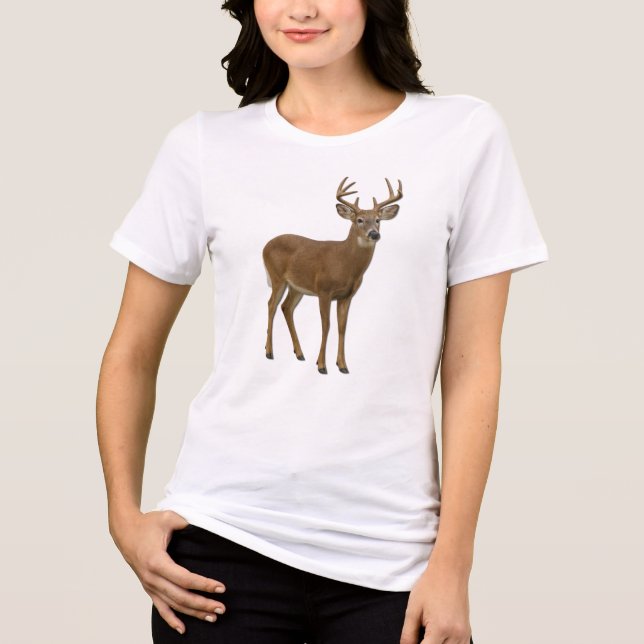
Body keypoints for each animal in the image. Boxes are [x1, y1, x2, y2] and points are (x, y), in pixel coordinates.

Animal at [262, 176, 403, 374]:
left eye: (377, 220)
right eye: (359, 220)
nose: (374, 234)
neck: (346, 264)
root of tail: (265, 245)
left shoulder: (346, 296)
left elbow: (342, 327)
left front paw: (342, 365)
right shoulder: (324, 290)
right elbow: (326, 325)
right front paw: (322, 365)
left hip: (297, 287)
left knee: (286, 307)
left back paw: (299, 353)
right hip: (277, 278)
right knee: (271, 305)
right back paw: (269, 351)